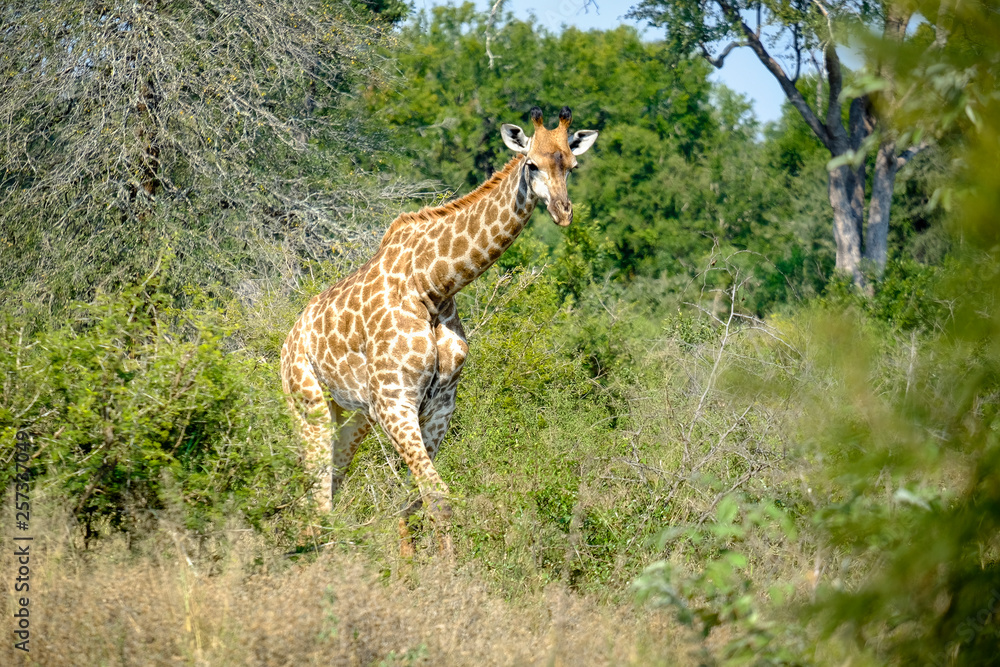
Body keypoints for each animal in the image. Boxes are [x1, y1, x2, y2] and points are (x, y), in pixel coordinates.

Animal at [280, 106, 598, 554]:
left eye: (571, 165)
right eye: (531, 164)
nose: (563, 212)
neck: (433, 286)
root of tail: (290, 337)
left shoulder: (438, 408)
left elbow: (415, 503)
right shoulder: (395, 402)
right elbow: (439, 500)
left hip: (352, 417)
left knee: (332, 486)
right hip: (308, 402)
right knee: (317, 494)